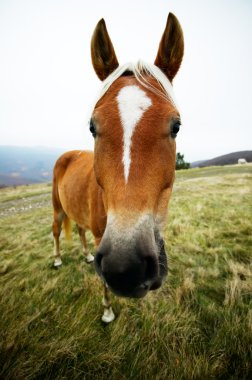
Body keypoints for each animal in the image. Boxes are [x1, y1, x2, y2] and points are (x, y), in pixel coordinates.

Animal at [52, 14, 184, 324]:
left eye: (176, 126)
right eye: (92, 126)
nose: (126, 267)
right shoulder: (102, 239)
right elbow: (103, 283)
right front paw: (107, 311)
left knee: (78, 231)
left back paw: (86, 255)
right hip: (57, 207)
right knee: (56, 231)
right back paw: (58, 259)